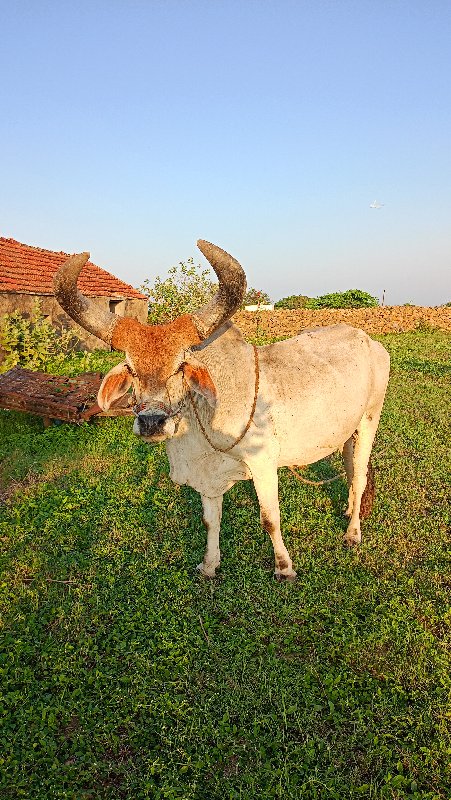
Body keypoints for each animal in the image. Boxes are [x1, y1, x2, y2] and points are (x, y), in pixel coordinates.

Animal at [53, 239, 392, 580]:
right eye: (132, 369)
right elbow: (210, 520)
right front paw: (209, 564)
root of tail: (369, 341)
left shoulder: (263, 462)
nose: (151, 422)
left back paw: (353, 533)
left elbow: (270, 519)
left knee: (360, 475)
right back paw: (349, 509)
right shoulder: (208, 477)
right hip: (346, 430)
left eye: (180, 367)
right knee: (351, 470)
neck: (201, 422)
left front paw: (284, 568)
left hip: (369, 419)